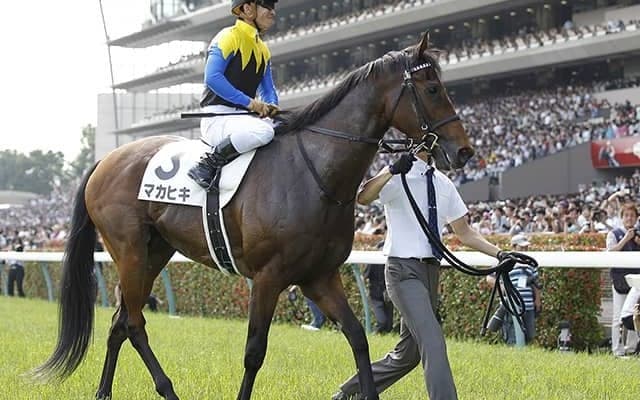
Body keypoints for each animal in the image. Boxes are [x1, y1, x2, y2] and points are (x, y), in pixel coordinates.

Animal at [34, 32, 474, 400]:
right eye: (433, 89)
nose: (464, 151)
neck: (315, 174)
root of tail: (105, 159)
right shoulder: (267, 277)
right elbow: (254, 351)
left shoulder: (319, 276)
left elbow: (357, 338)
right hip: (128, 249)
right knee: (134, 322)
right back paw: (167, 390)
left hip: (153, 251)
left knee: (120, 320)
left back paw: (104, 393)